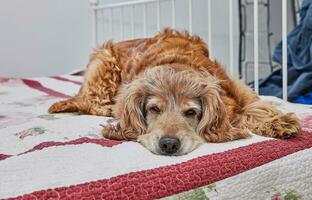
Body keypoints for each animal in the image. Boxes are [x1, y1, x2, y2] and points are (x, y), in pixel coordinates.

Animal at [48, 28, 300, 156]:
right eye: (154, 109)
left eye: (191, 112)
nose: (168, 144)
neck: (177, 63)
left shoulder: (237, 91)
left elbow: (256, 107)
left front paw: (280, 123)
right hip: (103, 63)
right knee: (89, 103)